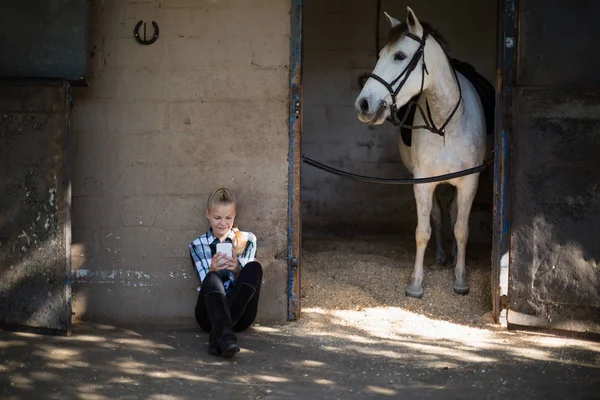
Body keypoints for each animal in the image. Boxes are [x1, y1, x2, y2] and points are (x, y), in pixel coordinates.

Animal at [354, 7, 486, 298]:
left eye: (400, 56)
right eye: (380, 56)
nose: (363, 104)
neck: (446, 125)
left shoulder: (470, 182)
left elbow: (462, 229)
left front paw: (461, 280)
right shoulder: (423, 183)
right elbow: (423, 230)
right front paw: (416, 284)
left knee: (455, 215)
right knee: (438, 216)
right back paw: (442, 256)